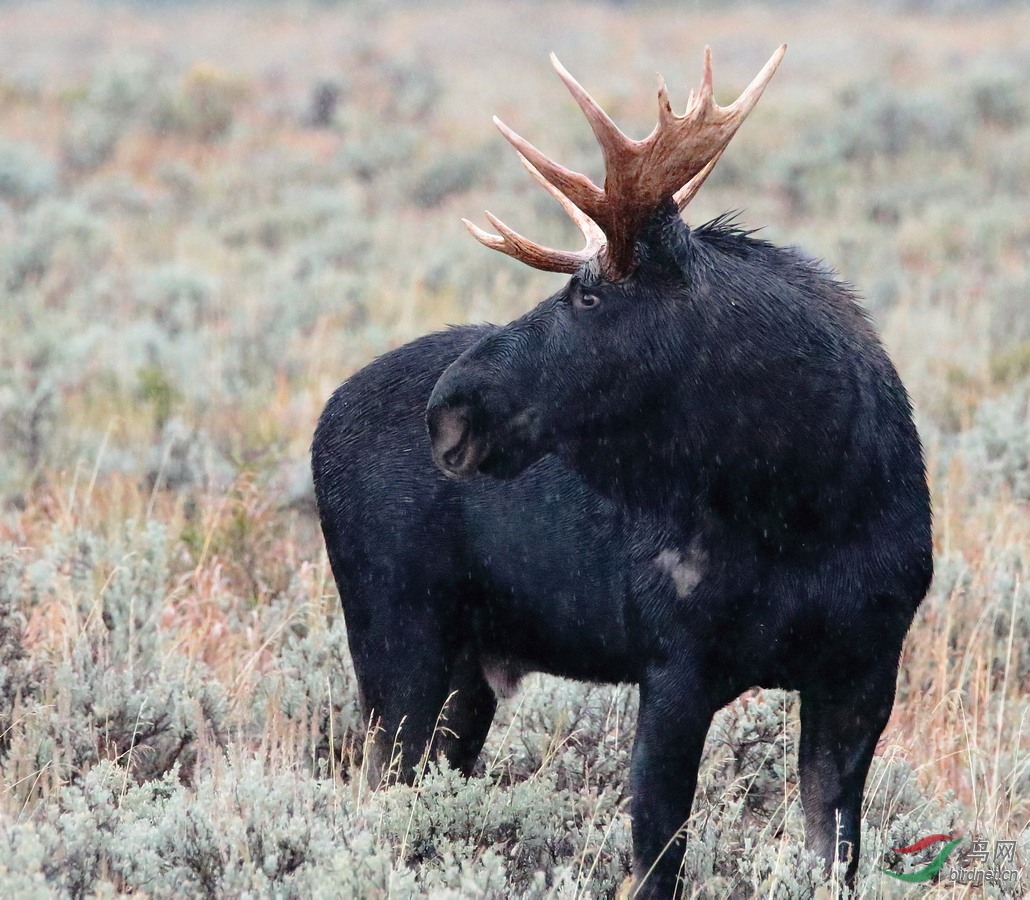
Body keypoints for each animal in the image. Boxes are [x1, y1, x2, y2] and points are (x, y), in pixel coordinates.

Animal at [313, 43, 935, 897]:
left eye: (587, 294)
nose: (448, 411)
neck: (810, 499)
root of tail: (324, 417)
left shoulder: (863, 672)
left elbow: (833, 854)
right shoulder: (675, 668)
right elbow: (656, 856)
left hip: (463, 671)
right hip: (395, 638)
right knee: (378, 792)